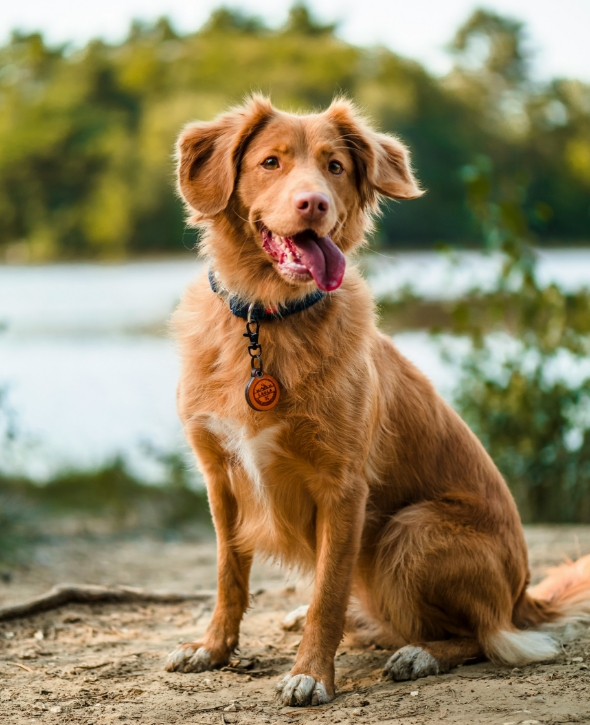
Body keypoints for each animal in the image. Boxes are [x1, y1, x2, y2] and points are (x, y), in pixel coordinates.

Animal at [164, 96, 590, 708]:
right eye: (270, 162)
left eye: (335, 167)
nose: (313, 203)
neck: (268, 319)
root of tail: (522, 597)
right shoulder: (219, 476)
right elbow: (228, 574)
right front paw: (213, 648)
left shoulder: (343, 488)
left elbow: (329, 592)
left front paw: (312, 674)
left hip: (409, 532)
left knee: (486, 636)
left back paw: (419, 654)